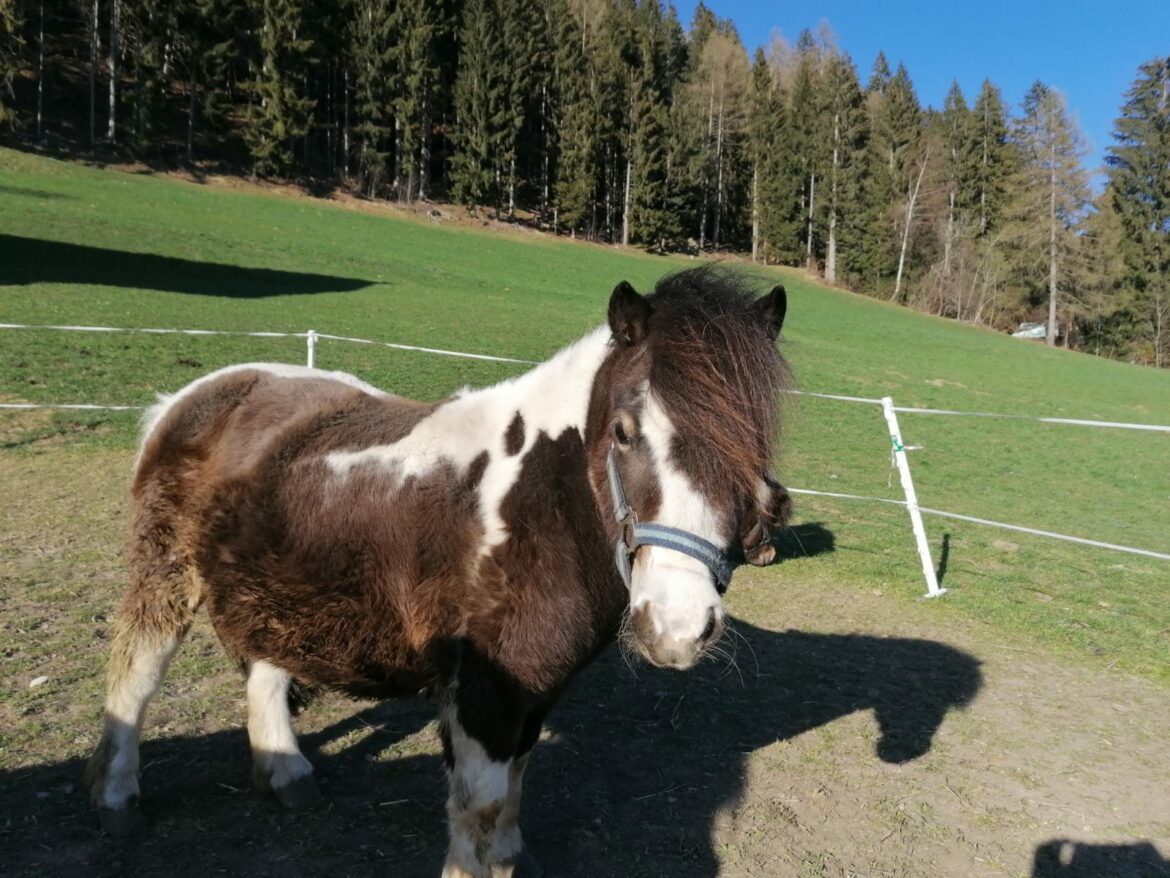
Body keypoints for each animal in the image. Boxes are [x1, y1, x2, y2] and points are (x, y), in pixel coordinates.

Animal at [85, 266, 793, 878]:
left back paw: (285, 773)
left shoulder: (530, 694)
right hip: (166, 574)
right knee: (136, 672)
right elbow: (479, 806)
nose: (678, 626)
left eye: (753, 444)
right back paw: (117, 800)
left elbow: (512, 792)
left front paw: (510, 859)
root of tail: (191, 397)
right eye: (622, 431)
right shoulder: (482, 693)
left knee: (265, 662)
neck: (539, 500)